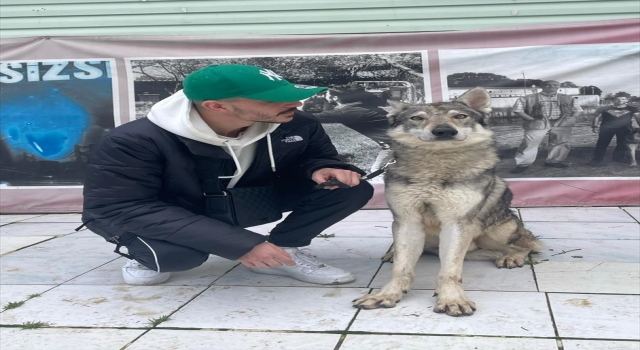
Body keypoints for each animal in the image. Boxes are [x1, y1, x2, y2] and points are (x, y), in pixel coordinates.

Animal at [352, 87, 544, 318]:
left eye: (459, 116)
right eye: (417, 118)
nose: (444, 131)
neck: (436, 169)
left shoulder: (457, 224)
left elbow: (450, 271)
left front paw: (452, 299)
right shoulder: (407, 221)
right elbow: (401, 267)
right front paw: (386, 295)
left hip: (495, 232)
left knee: (529, 244)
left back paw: (513, 257)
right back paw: (392, 253)